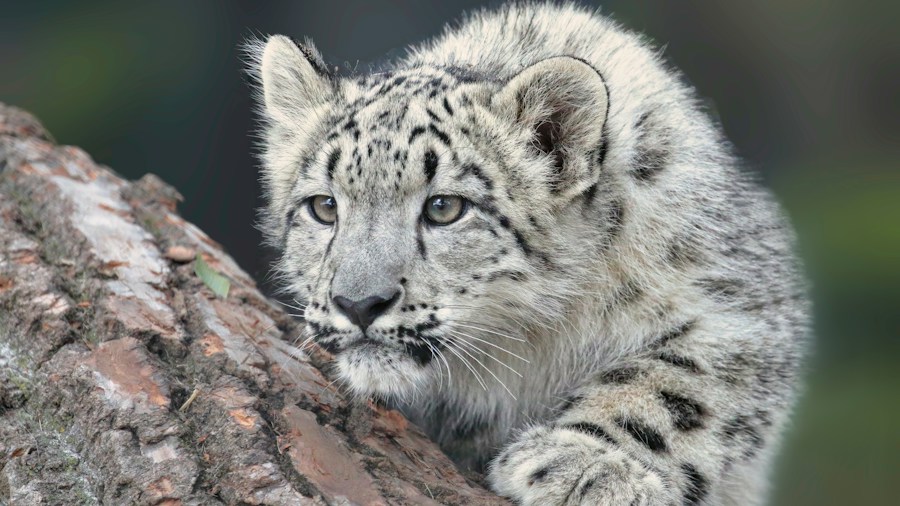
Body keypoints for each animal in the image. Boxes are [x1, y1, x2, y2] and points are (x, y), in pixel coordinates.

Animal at [246, 2, 809, 504]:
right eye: (324, 206)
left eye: (445, 207)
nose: (359, 304)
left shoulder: (738, 303)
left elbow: (676, 381)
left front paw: (587, 466)